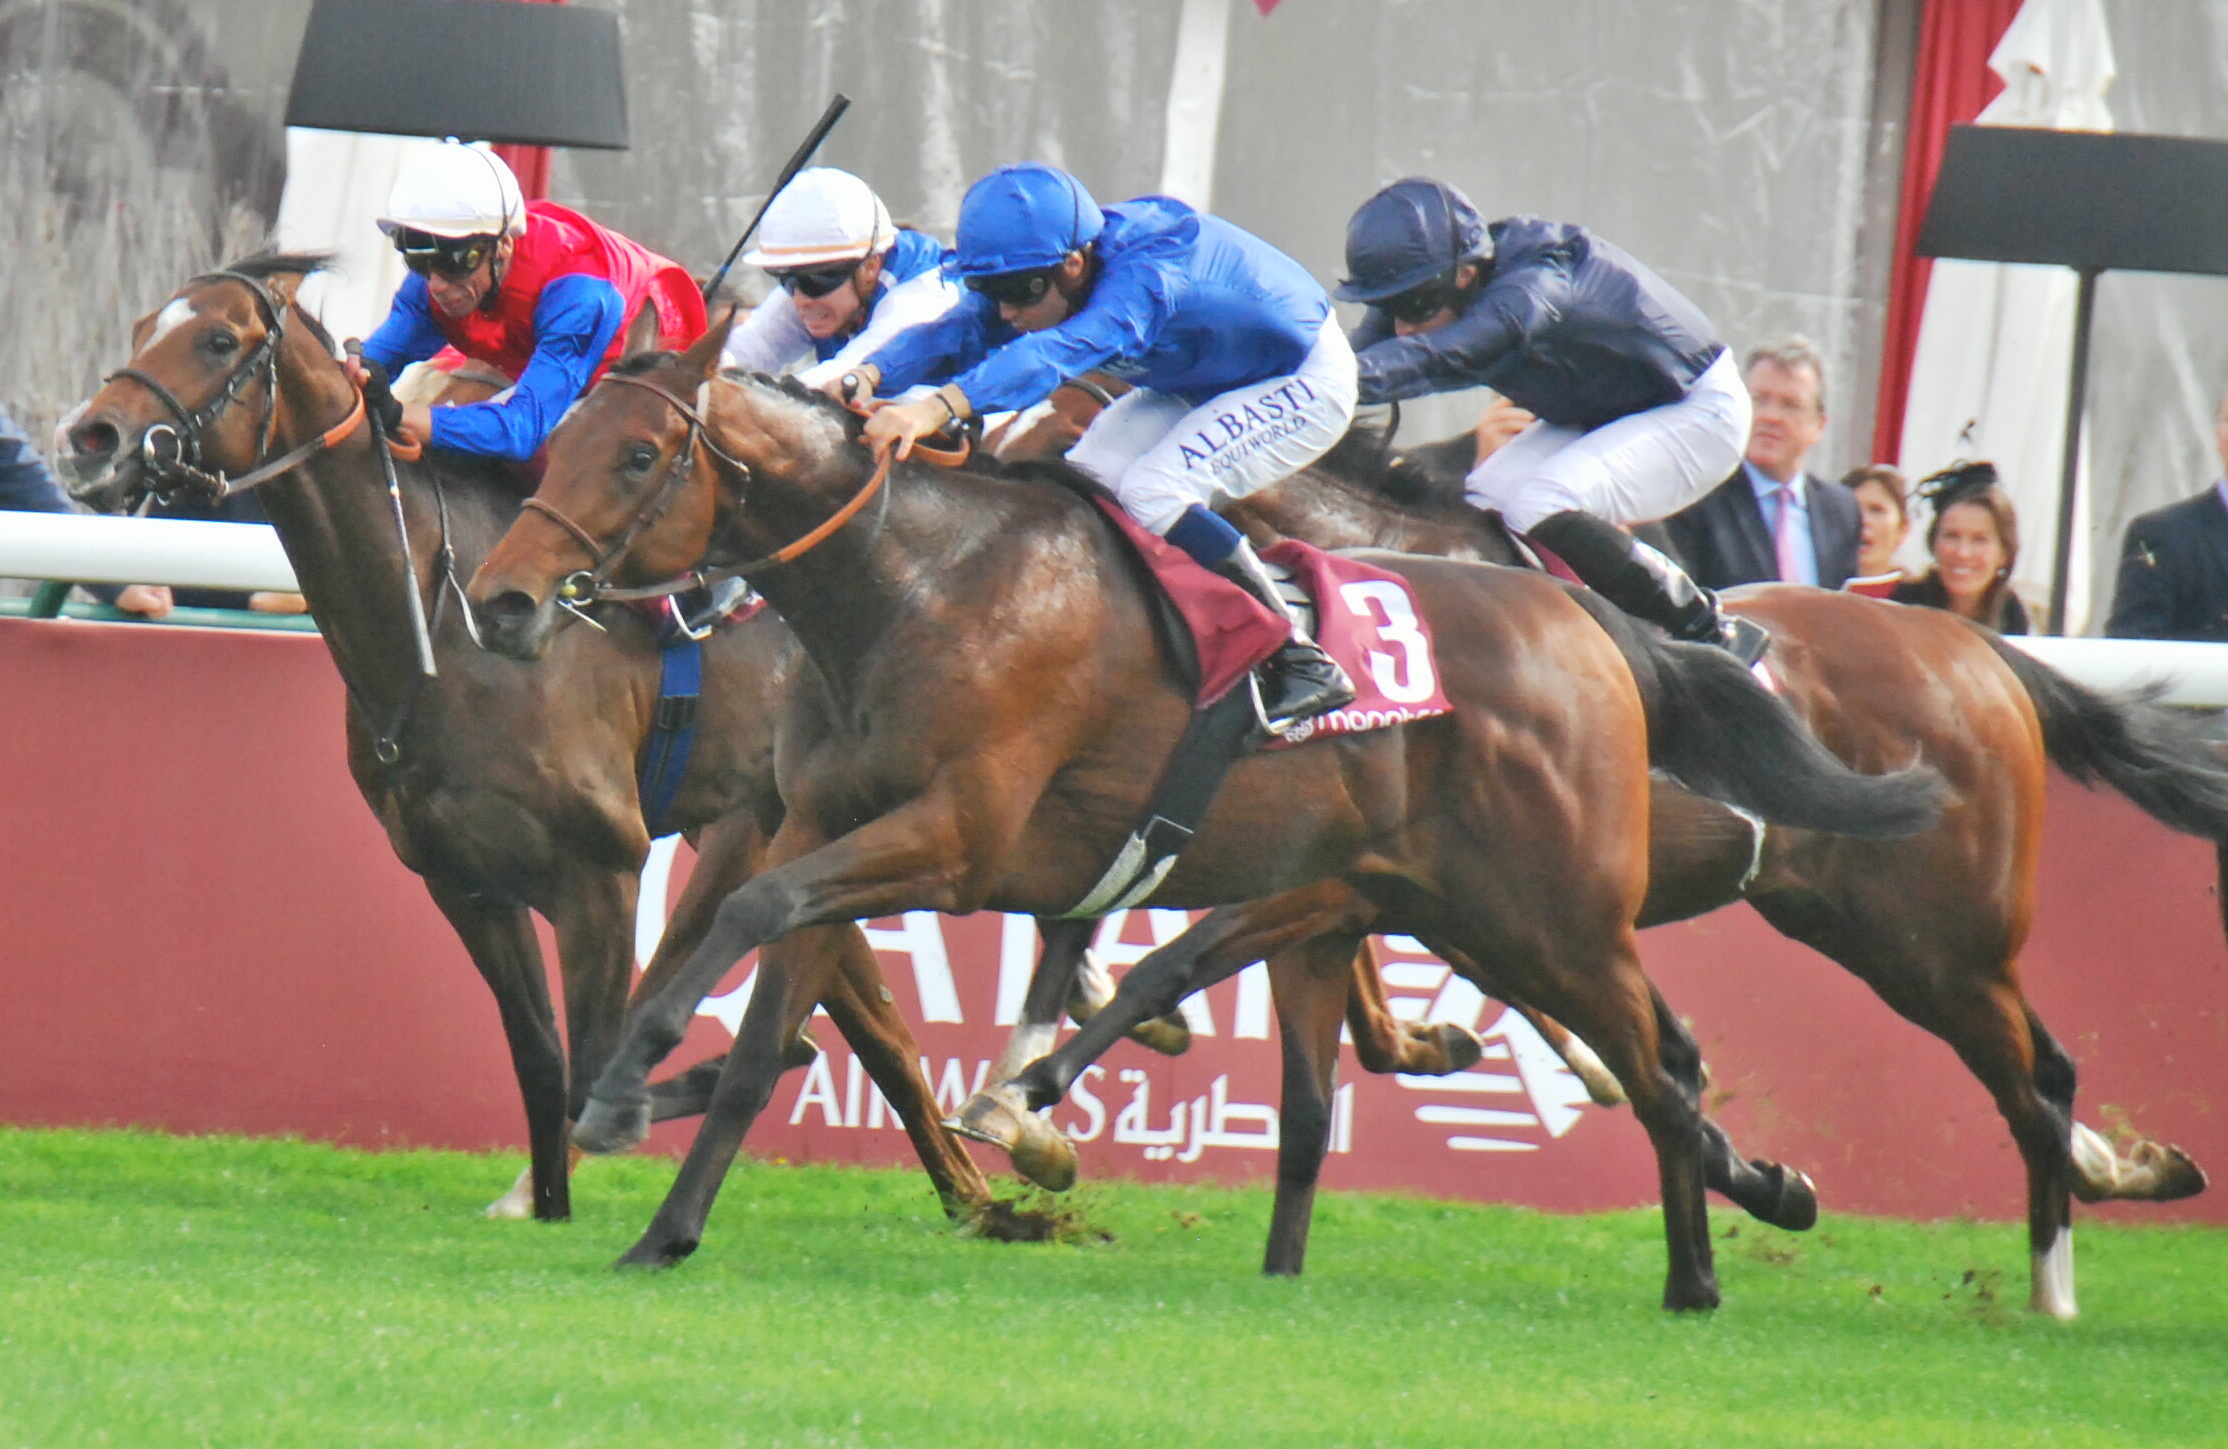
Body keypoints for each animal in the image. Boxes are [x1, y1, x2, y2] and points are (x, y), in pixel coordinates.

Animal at [63, 256, 984, 1221]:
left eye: (216, 338)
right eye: (142, 328)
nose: (90, 438)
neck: (443, 626)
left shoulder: (602, 871)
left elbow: (593, 1063)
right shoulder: (463, 883)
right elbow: (542, 1061)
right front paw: (546, 1203)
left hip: (759, 827)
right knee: (877, 1020)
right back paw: (986, 1193)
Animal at [465, 318, 1933, 1310]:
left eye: (639, 453)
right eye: (560, 440)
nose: (502, 601)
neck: (914, 586)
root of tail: (1591, 630)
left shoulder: (953, 845)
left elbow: (768, 916)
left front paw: (622, 1088)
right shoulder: (829, 828)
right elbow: (769, 1014)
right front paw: (663, 1219)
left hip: (1551, 910)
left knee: (1663, 1062)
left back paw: (1730, 1239)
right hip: (1473, 906)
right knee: (1653, 1057)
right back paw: (1713, 1240)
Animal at [984, 412, 2219, 1310]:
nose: (1009, 472)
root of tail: (1977, 643)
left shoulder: (1358, 883)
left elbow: (1168, 960)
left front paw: (1029, 1097)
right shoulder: (1372, 890)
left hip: (1931, 940)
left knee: (2037, 1075)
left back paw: (2058, 1278)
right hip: (1867, 925)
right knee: (2038, 1070)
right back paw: (2109, 1182)